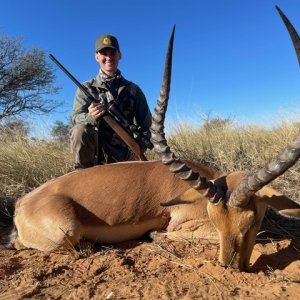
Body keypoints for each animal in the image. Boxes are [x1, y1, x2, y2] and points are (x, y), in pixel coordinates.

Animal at [0, 6, 298, 272]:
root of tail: (21, 204)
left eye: (253, 220)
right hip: (67, 232)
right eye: (215, 219)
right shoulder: (182, 224)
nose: (231, 265)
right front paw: (154, 235)